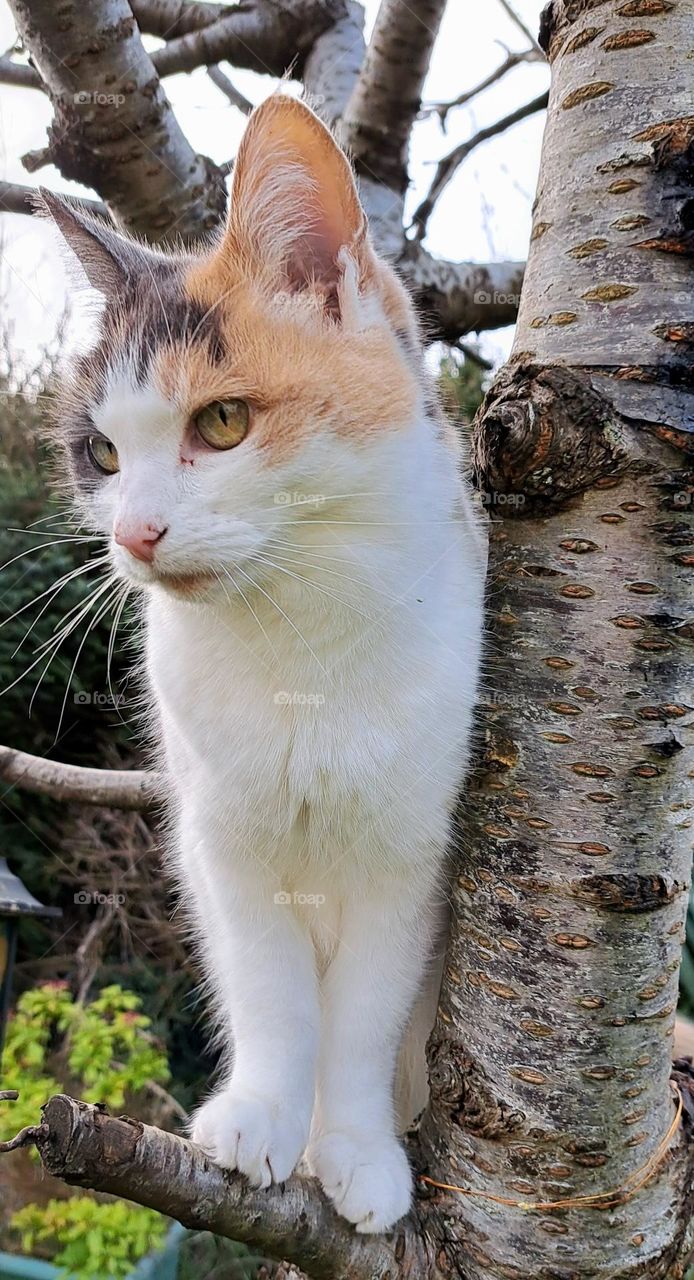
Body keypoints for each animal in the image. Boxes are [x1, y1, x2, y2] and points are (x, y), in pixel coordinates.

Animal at [42, 94, 489, 1233]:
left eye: (223, 421)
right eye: (101, 453)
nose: (136, 533)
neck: (298, 642)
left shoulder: (407, 861)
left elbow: (363, 1018)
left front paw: (358, 1151)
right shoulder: (226, 848)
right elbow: (274, 994)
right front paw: (261, 1120)